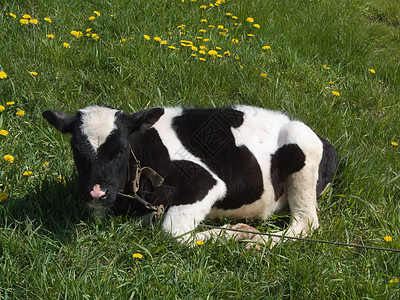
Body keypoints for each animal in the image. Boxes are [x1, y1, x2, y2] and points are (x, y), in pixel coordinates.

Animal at [43, 104, 338, 247]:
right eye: (76, 149)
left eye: (121, 150)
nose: (96, 192)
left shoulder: (207, 182)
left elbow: (173, 233)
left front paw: (238, 232)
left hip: (301, 152)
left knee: (305, 224)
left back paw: (258, 243)